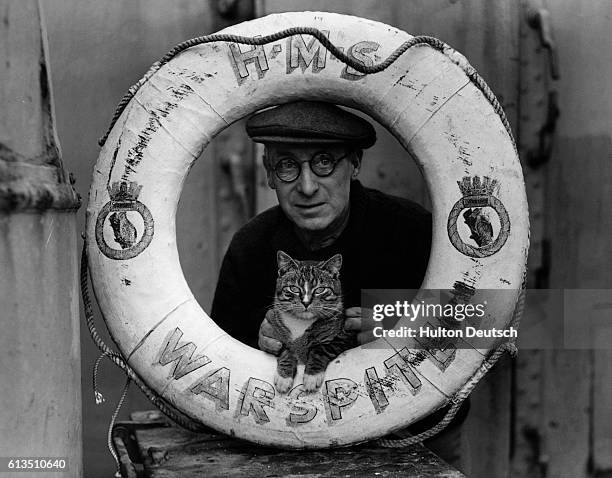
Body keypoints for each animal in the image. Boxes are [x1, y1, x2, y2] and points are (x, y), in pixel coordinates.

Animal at [266, 250, 354, 392]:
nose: (306, 302)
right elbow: (285, 351)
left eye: (320, 289)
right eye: (294, 288)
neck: (301, 321)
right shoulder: (276, 334)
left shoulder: (344, 336)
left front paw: (312, 377)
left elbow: (321, 349)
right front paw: (284, 377)